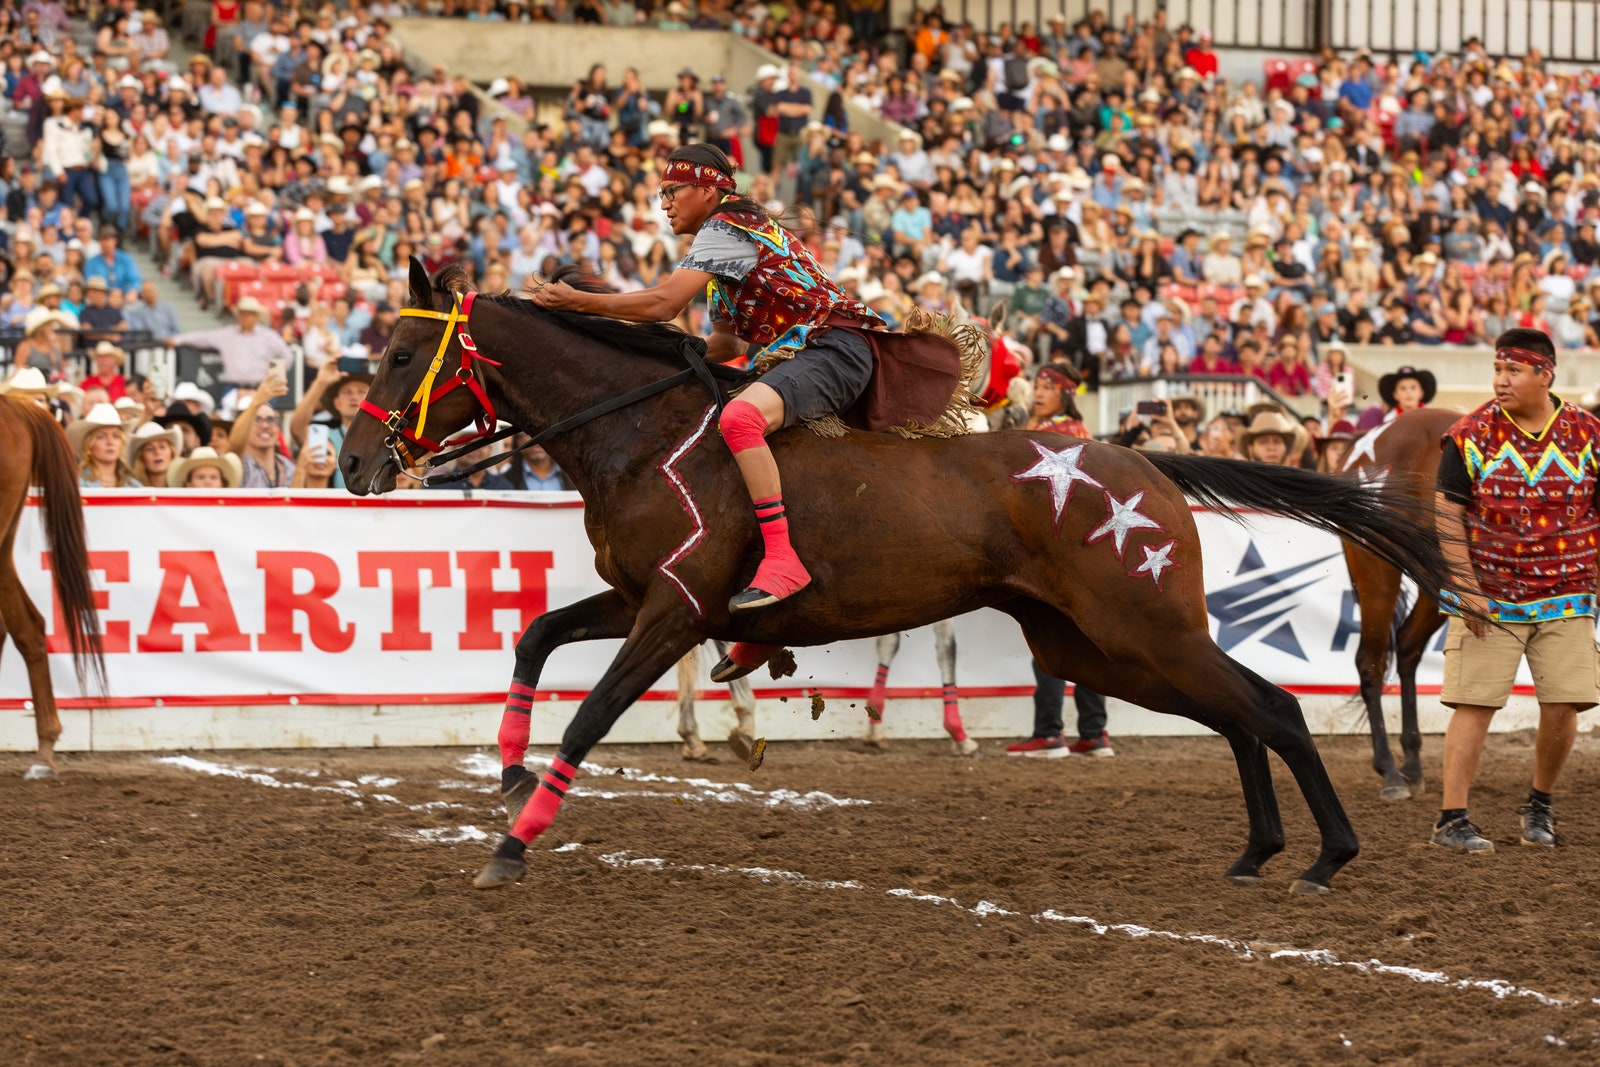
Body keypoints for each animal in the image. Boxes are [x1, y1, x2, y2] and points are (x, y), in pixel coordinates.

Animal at [1337, 409, 1465, 799]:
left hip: (1438, 581)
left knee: (1407, 645)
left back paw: (1411, 759)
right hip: (1377, 574)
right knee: (1371, 664)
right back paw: (1390, 770)